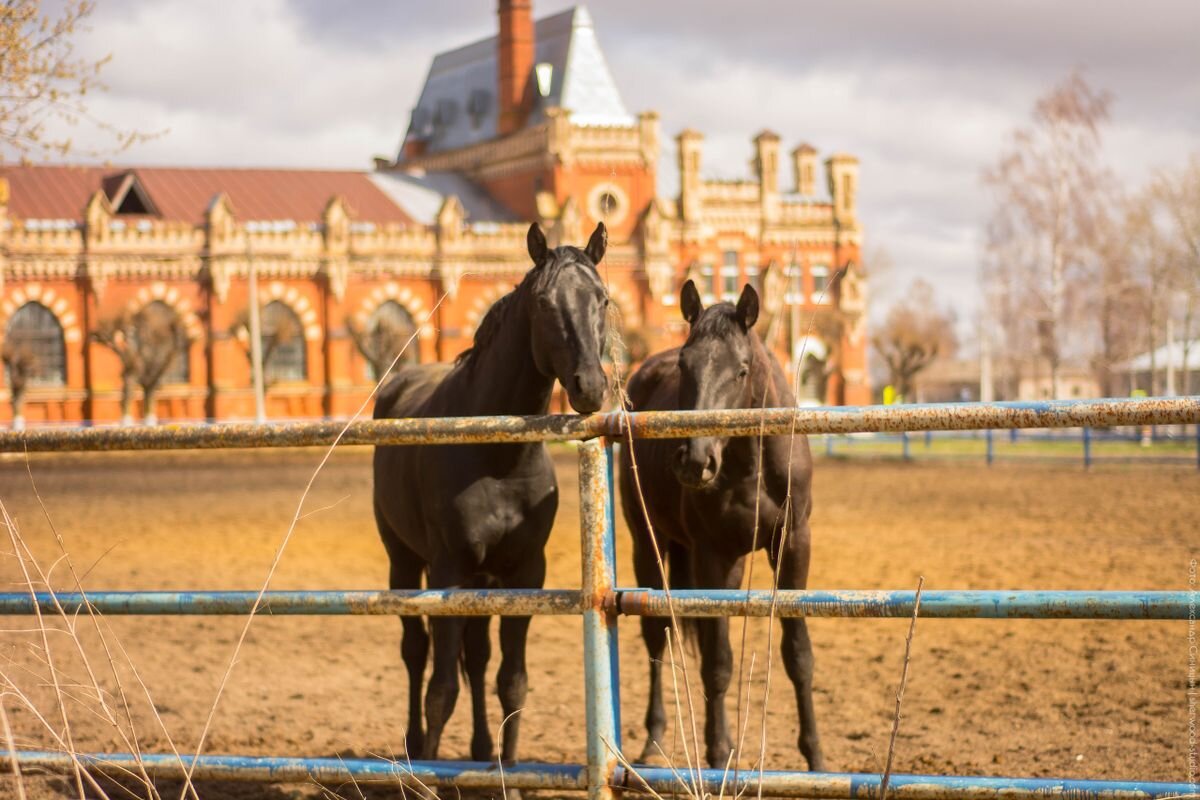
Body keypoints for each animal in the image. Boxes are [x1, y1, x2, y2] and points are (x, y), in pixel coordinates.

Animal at [372, 221, 609, 767]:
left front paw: (509, 768)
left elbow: (511, 682)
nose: (590, 386)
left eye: (603, 299)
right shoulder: (449, 573)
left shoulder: (525, 573)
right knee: (415, 652)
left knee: (476, 657)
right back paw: (415, 746)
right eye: (544, 302)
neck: (498, 459)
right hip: (403, 560)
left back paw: (481, 751)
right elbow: (440, 689)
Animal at [619, 280, 825, 767]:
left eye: (742, 370)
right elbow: (716, 665)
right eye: (684, 364)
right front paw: (717, 755)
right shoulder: (711, 556)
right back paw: (653, 741)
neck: (752, 464)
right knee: (657, 637)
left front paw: (816, 759)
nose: (695, 460)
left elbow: (798, 655)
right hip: (648, 545)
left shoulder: (792, 547)